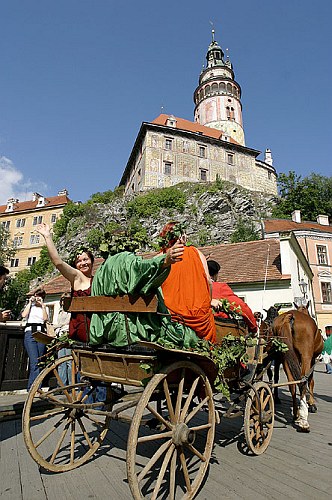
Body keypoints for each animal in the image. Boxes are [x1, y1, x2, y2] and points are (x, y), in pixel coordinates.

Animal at [272, 302, 322, 432]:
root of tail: (289, 315)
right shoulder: (312, 359)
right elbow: (311, 381)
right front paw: (312, 404)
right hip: (306, 356)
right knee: (302, 381)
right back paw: (303, 419)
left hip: (285, 356)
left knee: (292, 383)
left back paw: (296, 414)